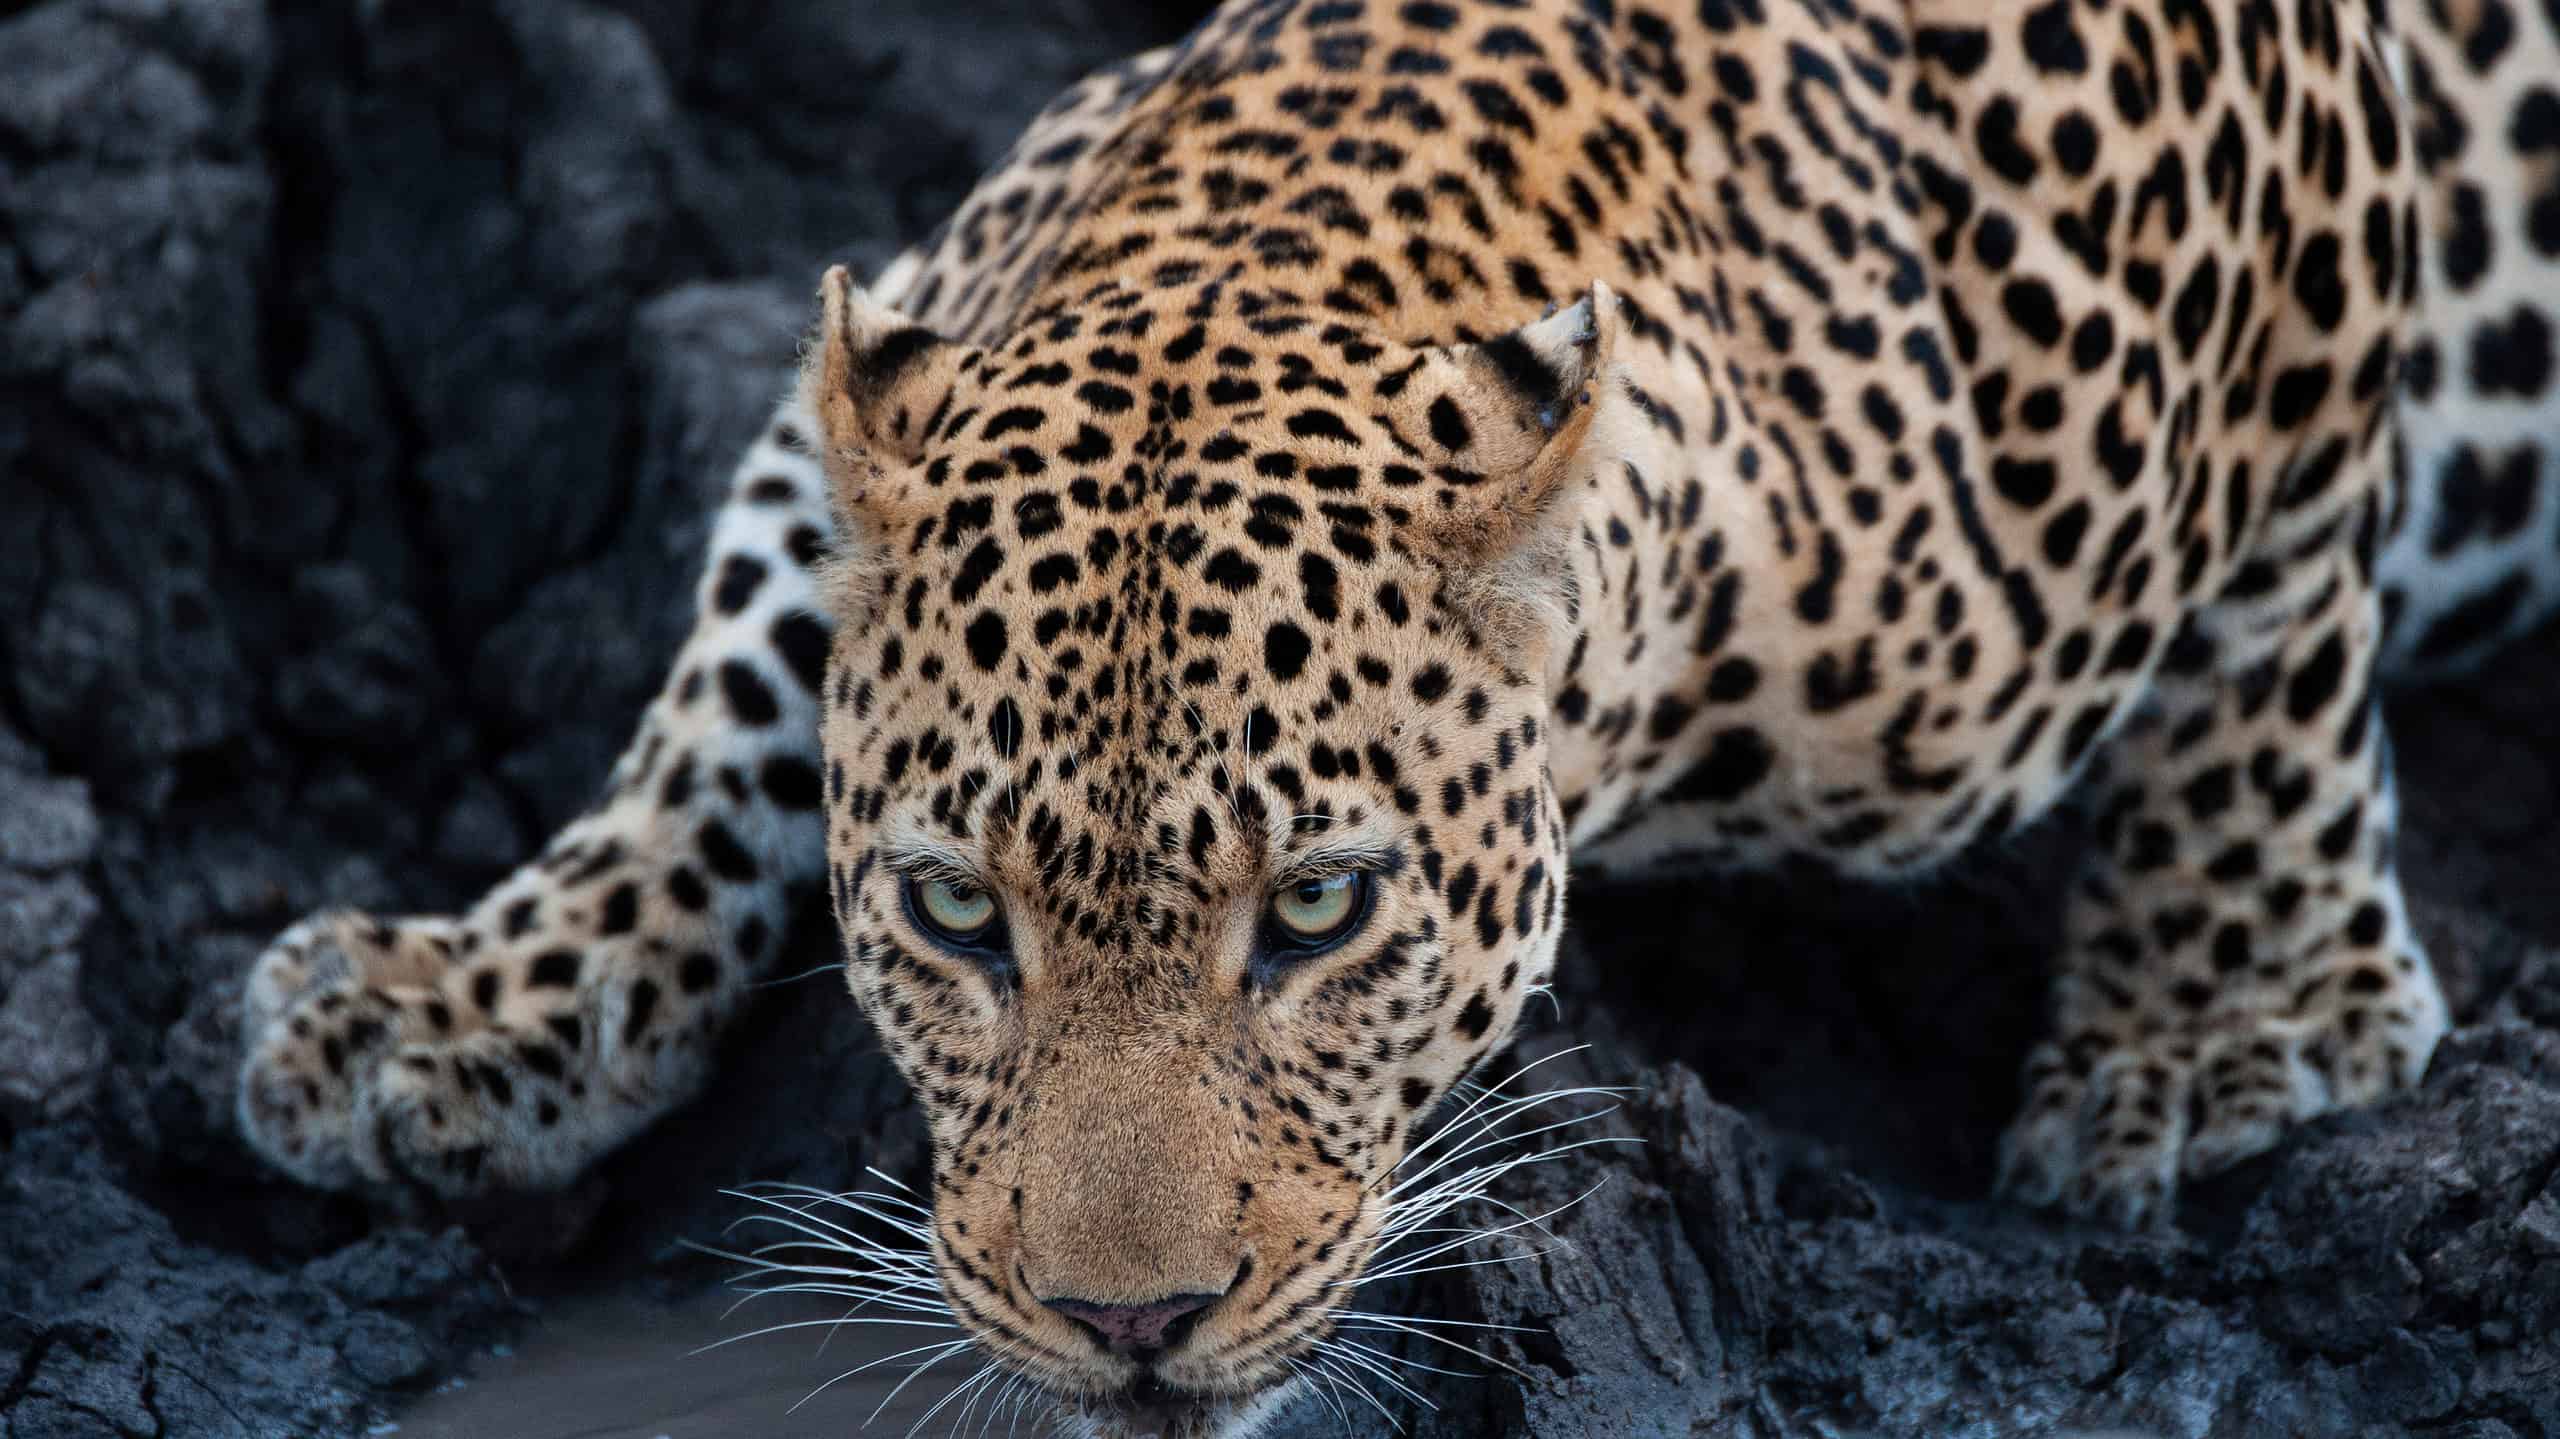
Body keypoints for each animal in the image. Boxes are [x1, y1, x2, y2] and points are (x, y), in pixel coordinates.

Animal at [234, 0, 2560, 1434]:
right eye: (957, 914)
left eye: (1324, 910)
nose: (1132, 1326)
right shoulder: (894, 370)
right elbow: (727, 674)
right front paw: (462, 1004)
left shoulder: (2283, 161)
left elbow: (2272, 609)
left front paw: (2223, 1020)